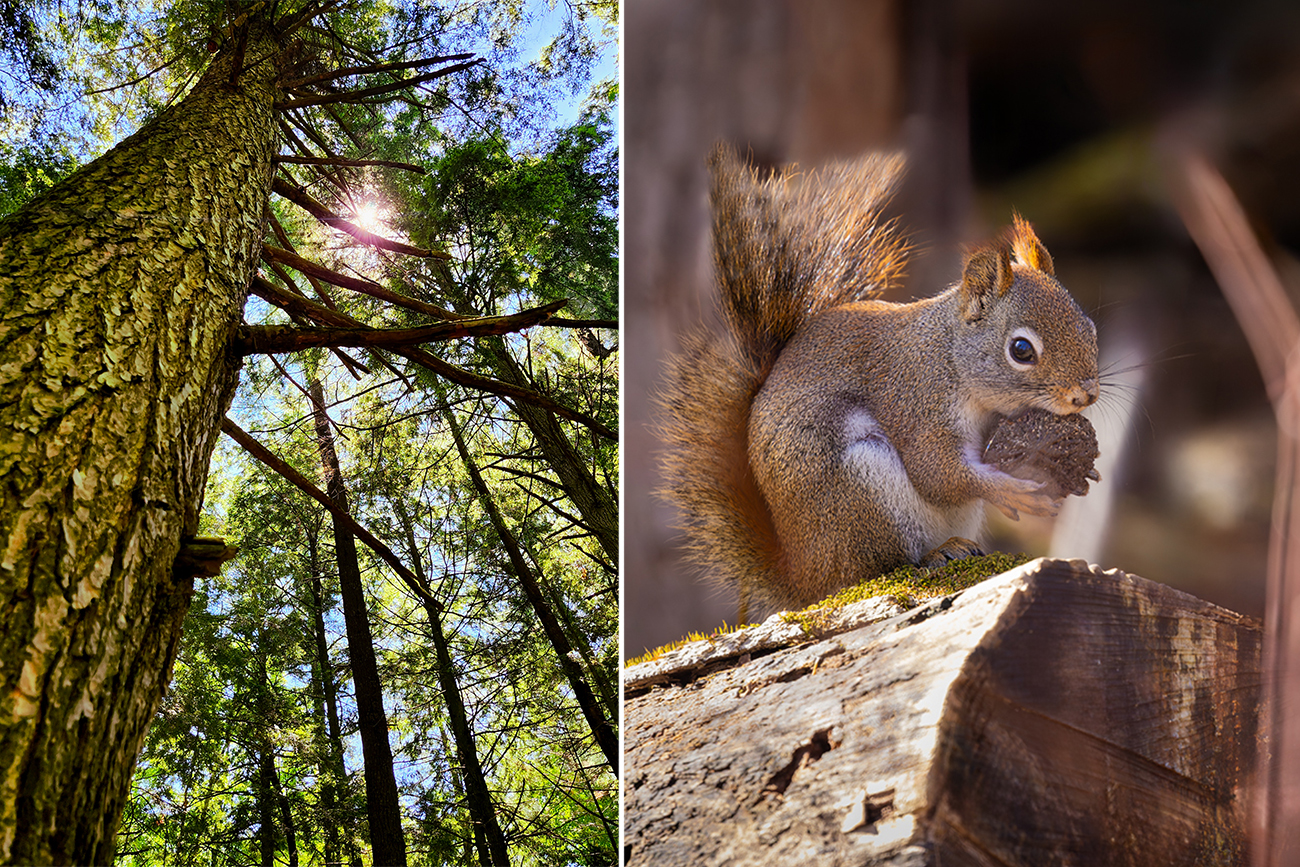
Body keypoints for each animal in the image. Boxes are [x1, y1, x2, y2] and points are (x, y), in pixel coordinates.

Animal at [657, 146, 1099, 614]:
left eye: (1089, 328)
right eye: (1021, 350)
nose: (1085, 395)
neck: (948, 358)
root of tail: (802, 576)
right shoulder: (916, 404)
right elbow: (939, 473)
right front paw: (1012, 491)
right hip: (857, 486)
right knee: (877, 567)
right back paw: (934, 553)